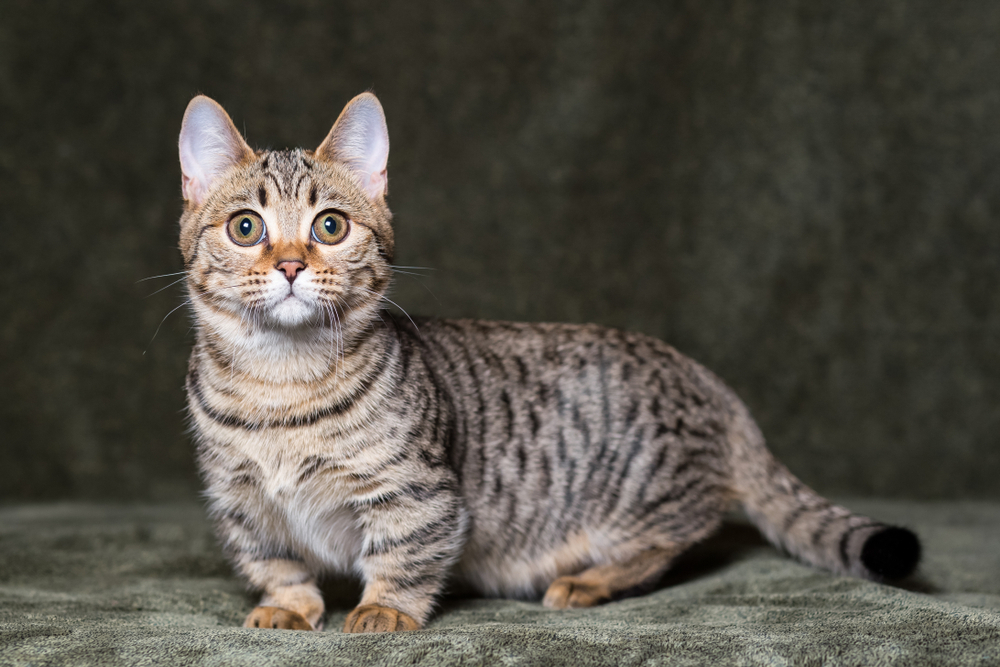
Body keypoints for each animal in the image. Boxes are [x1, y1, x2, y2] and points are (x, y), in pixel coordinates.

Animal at [174, 91, 920, 636]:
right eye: (246, 227)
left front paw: (382, 608)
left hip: (640, 498)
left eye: (330, 225)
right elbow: (277, 564)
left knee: (669, 541)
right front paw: (290, 606)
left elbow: (403, 558)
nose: (290, 264)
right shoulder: (240, 505)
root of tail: (711, 381)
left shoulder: (420, 497)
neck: (280, 387)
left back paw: (587, 581)